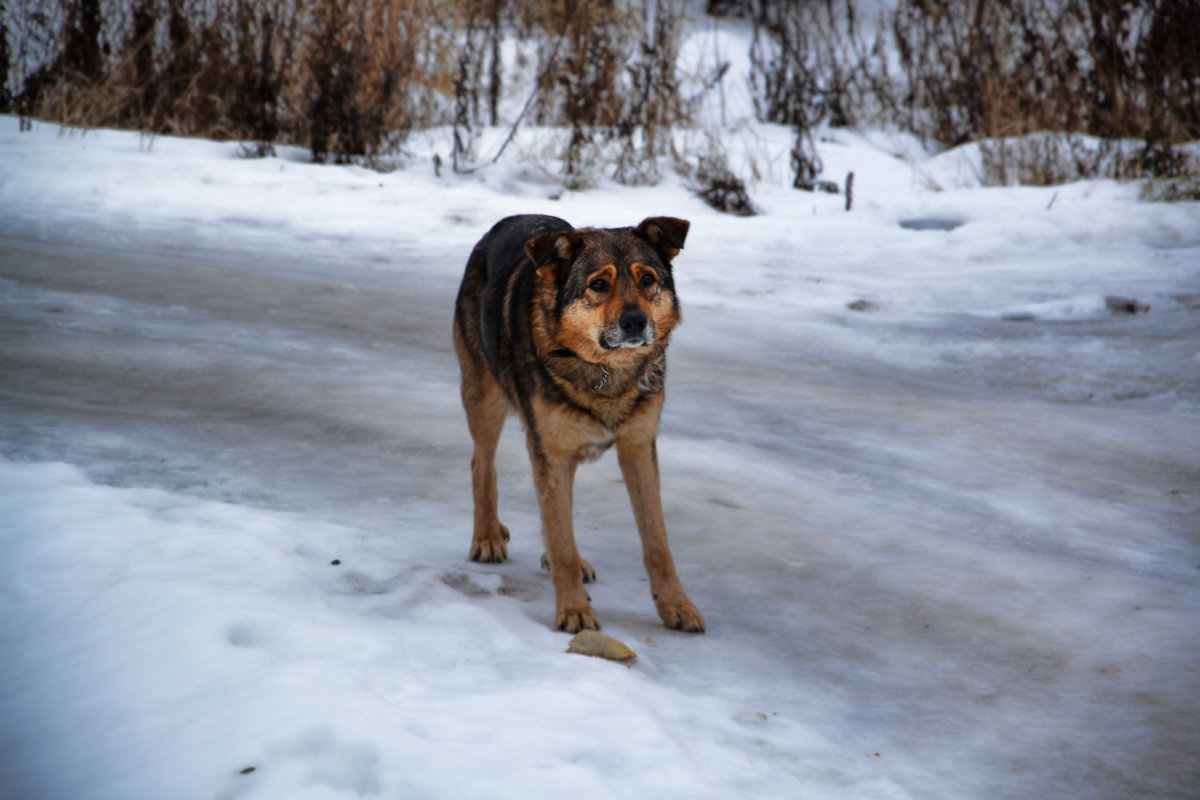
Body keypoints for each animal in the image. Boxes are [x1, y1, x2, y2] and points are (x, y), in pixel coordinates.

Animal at [453, 215, 705, 633]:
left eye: (647, 279)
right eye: (598, 285)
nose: (635, 321)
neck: (607, 373)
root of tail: (504, 223)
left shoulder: (638, 449)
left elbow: (657, 543)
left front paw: (676, 604)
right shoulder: (551, 454)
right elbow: (562, 541)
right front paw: (573, 609)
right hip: (485, 401)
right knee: (480, 464)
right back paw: (487, 536)